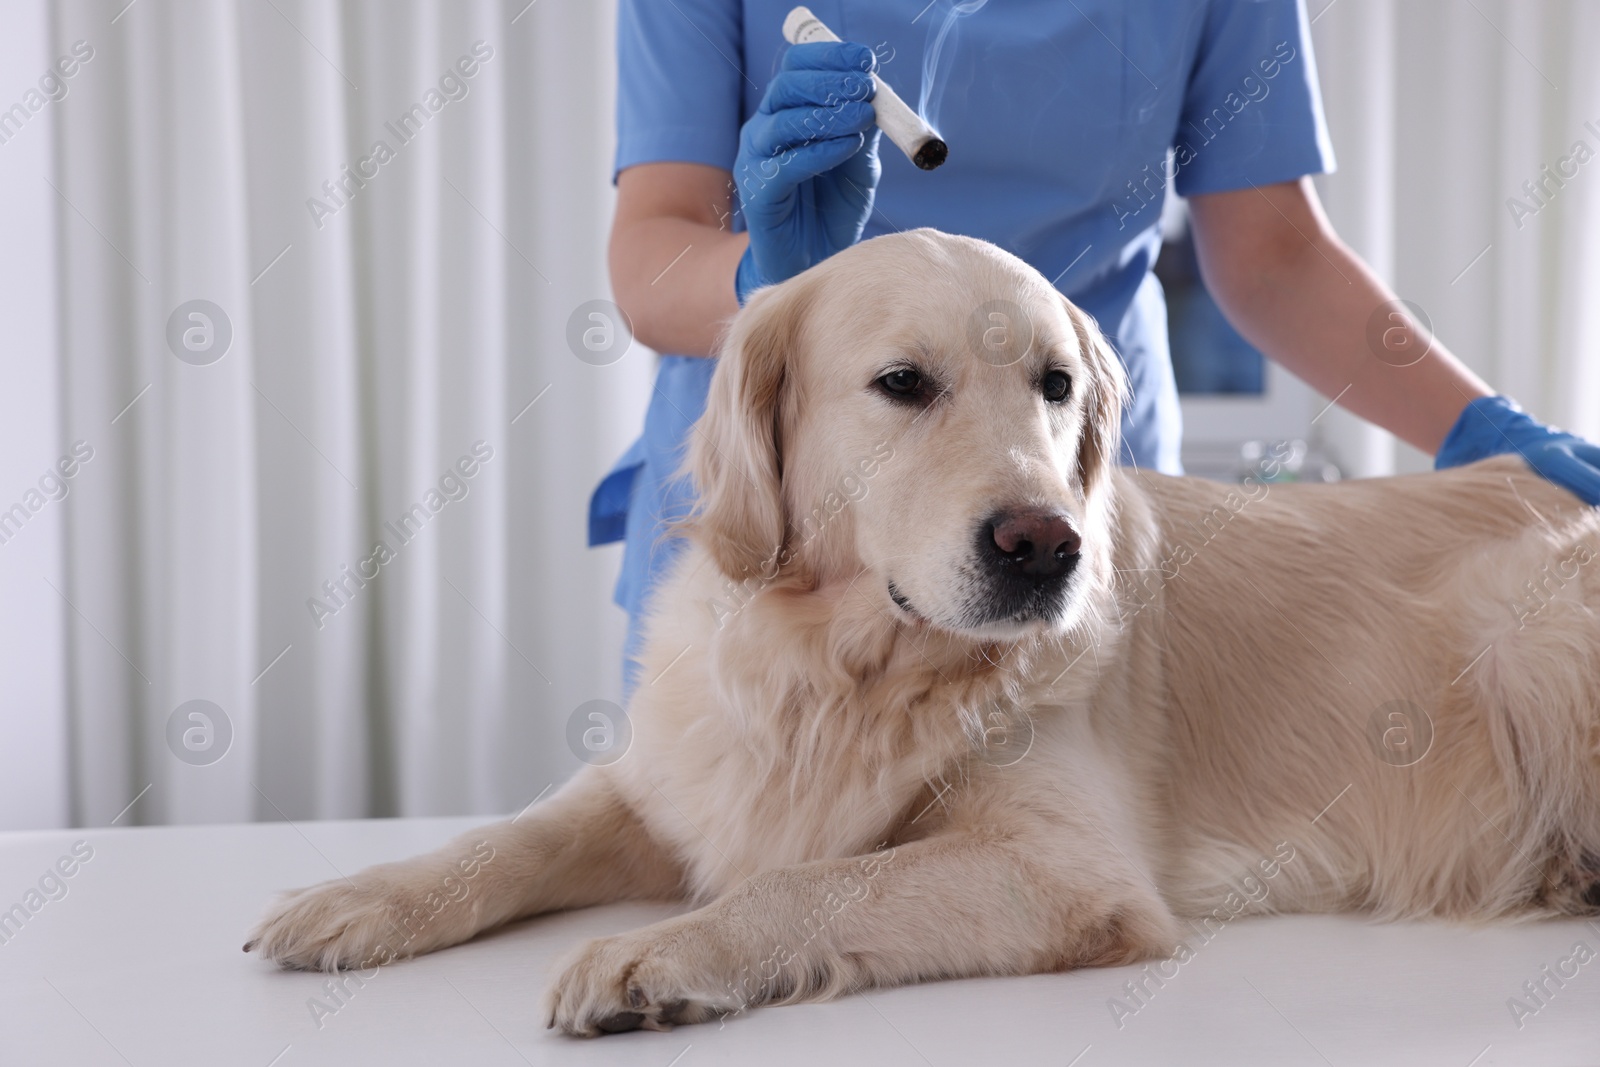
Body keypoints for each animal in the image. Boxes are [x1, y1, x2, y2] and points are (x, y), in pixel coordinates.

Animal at [243, 225, 1600, 1036]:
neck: (845, 669)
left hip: (1524, 626)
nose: (1044, 544)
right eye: (903, 383)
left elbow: (814, 877)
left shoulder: (1065, 868)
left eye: (1058, 385)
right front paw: (353, 897)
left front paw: (656, 954)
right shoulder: (673, 779)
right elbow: (509, 836)